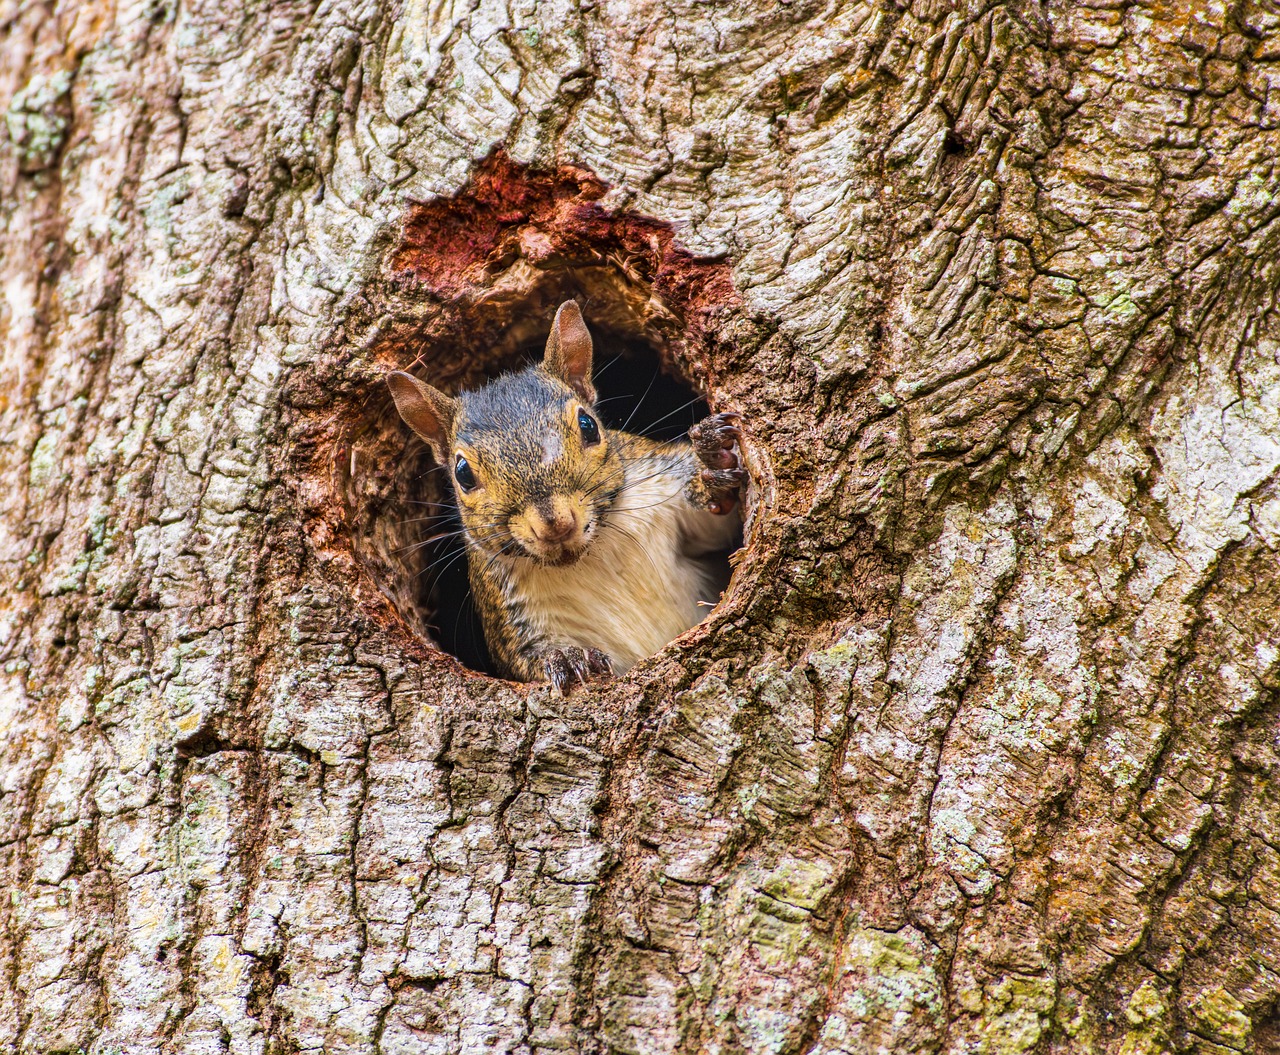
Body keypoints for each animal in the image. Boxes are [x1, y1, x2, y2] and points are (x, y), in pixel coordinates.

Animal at [386, 300, 747, 693]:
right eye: (462, 473)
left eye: (589, 426)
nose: (555, 523)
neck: (593, 556)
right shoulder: (511, 612)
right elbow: (529, 656)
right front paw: (566, 658)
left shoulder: (660, 487)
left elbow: (720, 524)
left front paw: (712, 462)